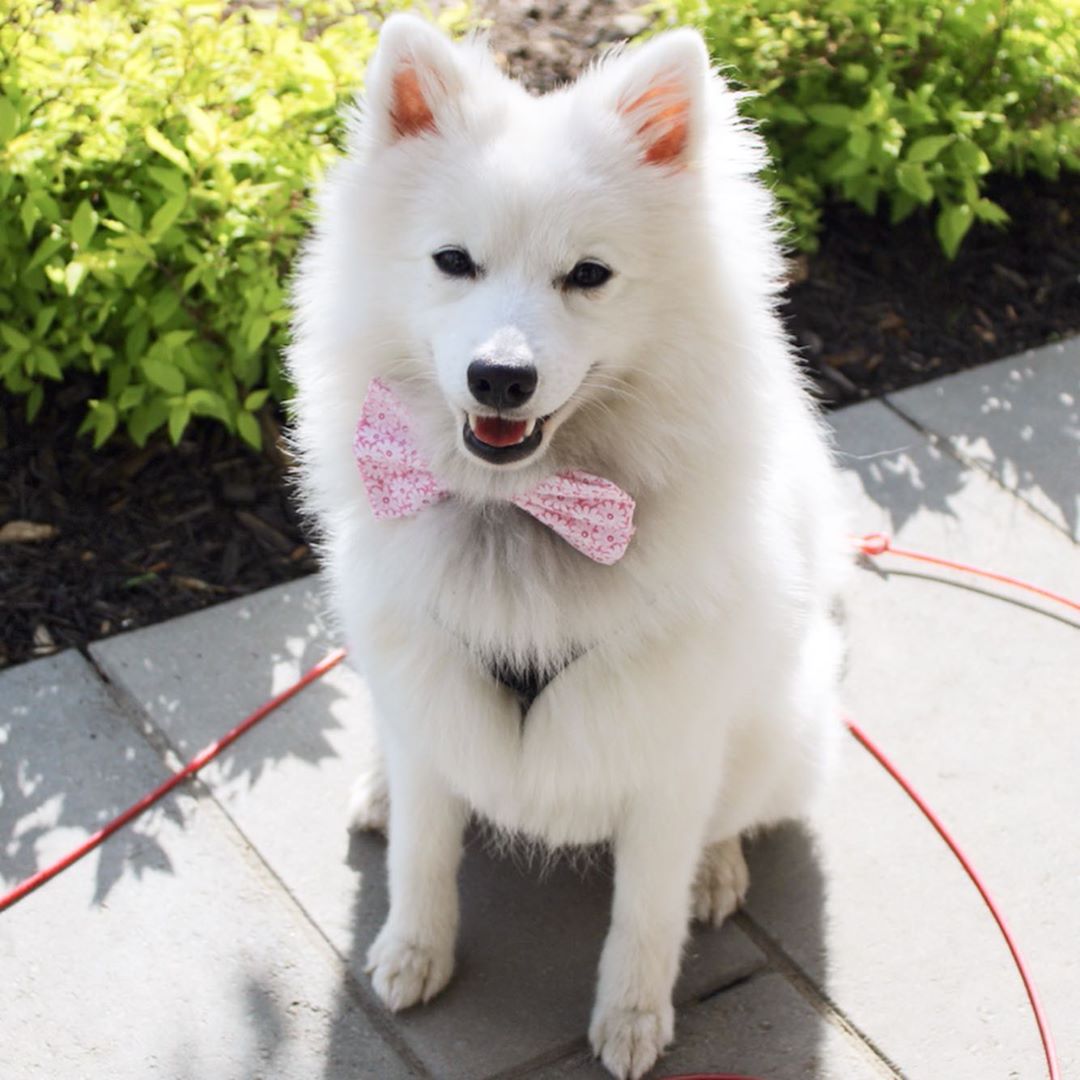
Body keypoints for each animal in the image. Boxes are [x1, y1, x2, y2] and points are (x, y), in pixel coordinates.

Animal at [291, 16, 846, 1080]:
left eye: (588, 275)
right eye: (453, 261)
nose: (500, 378)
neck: (523, 515)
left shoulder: (670, 747)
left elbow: (646, 908)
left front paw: (632, 1017)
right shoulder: (430, 686)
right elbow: (425, 849)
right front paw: (413, 952)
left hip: (779, 722)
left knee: (735, 814)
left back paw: (718, 870)